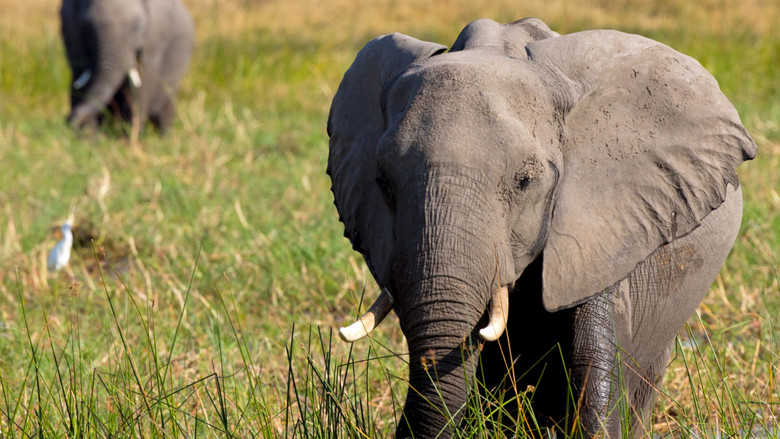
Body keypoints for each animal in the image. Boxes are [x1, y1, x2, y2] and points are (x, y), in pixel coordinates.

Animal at [60, 0, 194, 132]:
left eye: (136, 28)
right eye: (87, 27)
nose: (68, 117)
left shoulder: (152, 42)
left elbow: (140, 86)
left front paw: (129, 136)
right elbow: (81, 80)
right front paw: (87, 136)